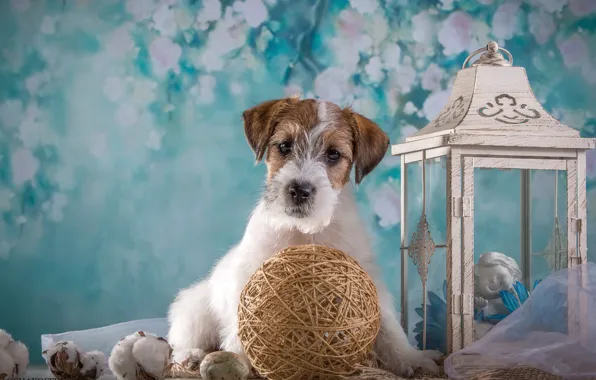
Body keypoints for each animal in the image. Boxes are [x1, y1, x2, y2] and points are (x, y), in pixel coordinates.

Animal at [165, 96, 440, 376]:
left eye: (333, 154)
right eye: (285, 146)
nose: (299, 190)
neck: (305, 232)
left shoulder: (365, 276)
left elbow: (389, 325)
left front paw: (411, 358)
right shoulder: (250, 276)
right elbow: (242, 322)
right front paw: (238, 357)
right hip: (193, 312)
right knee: (181, 341)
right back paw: (190, 357)